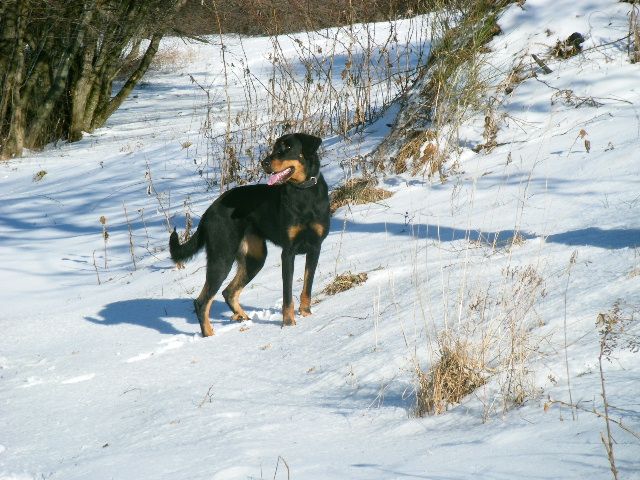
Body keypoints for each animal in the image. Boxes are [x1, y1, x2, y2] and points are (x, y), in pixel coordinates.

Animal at [169, 131, 330, 338]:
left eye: (287, 148)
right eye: (274, 147)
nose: (264, 163)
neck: (304, 193)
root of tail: (208, 212)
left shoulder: (315, 248)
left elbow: (307, 288)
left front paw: (306, 314)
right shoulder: (288, 253)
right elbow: (287, 294)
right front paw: (288, 324)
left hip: (255, 258)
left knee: (228, 292)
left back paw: (243, 318)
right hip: (222, 258)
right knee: (202, 301)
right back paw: (209, 335)